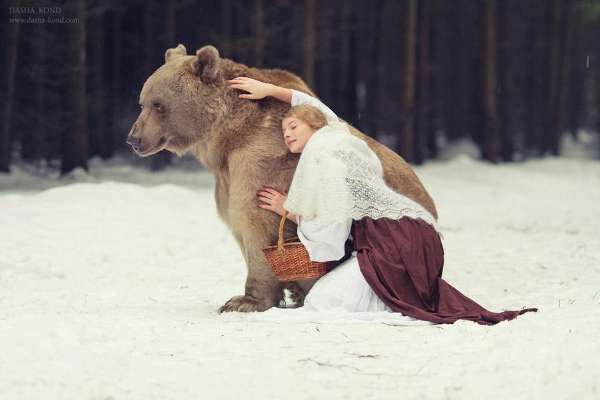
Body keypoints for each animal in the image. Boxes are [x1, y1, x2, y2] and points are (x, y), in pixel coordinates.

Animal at [127, 43, 436, 312]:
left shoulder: (259, 163)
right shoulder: (228, 176)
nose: (134, 138)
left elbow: (254, 221)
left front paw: (243, 301)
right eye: (142, 102)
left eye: (158, 104)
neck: (225, 139)